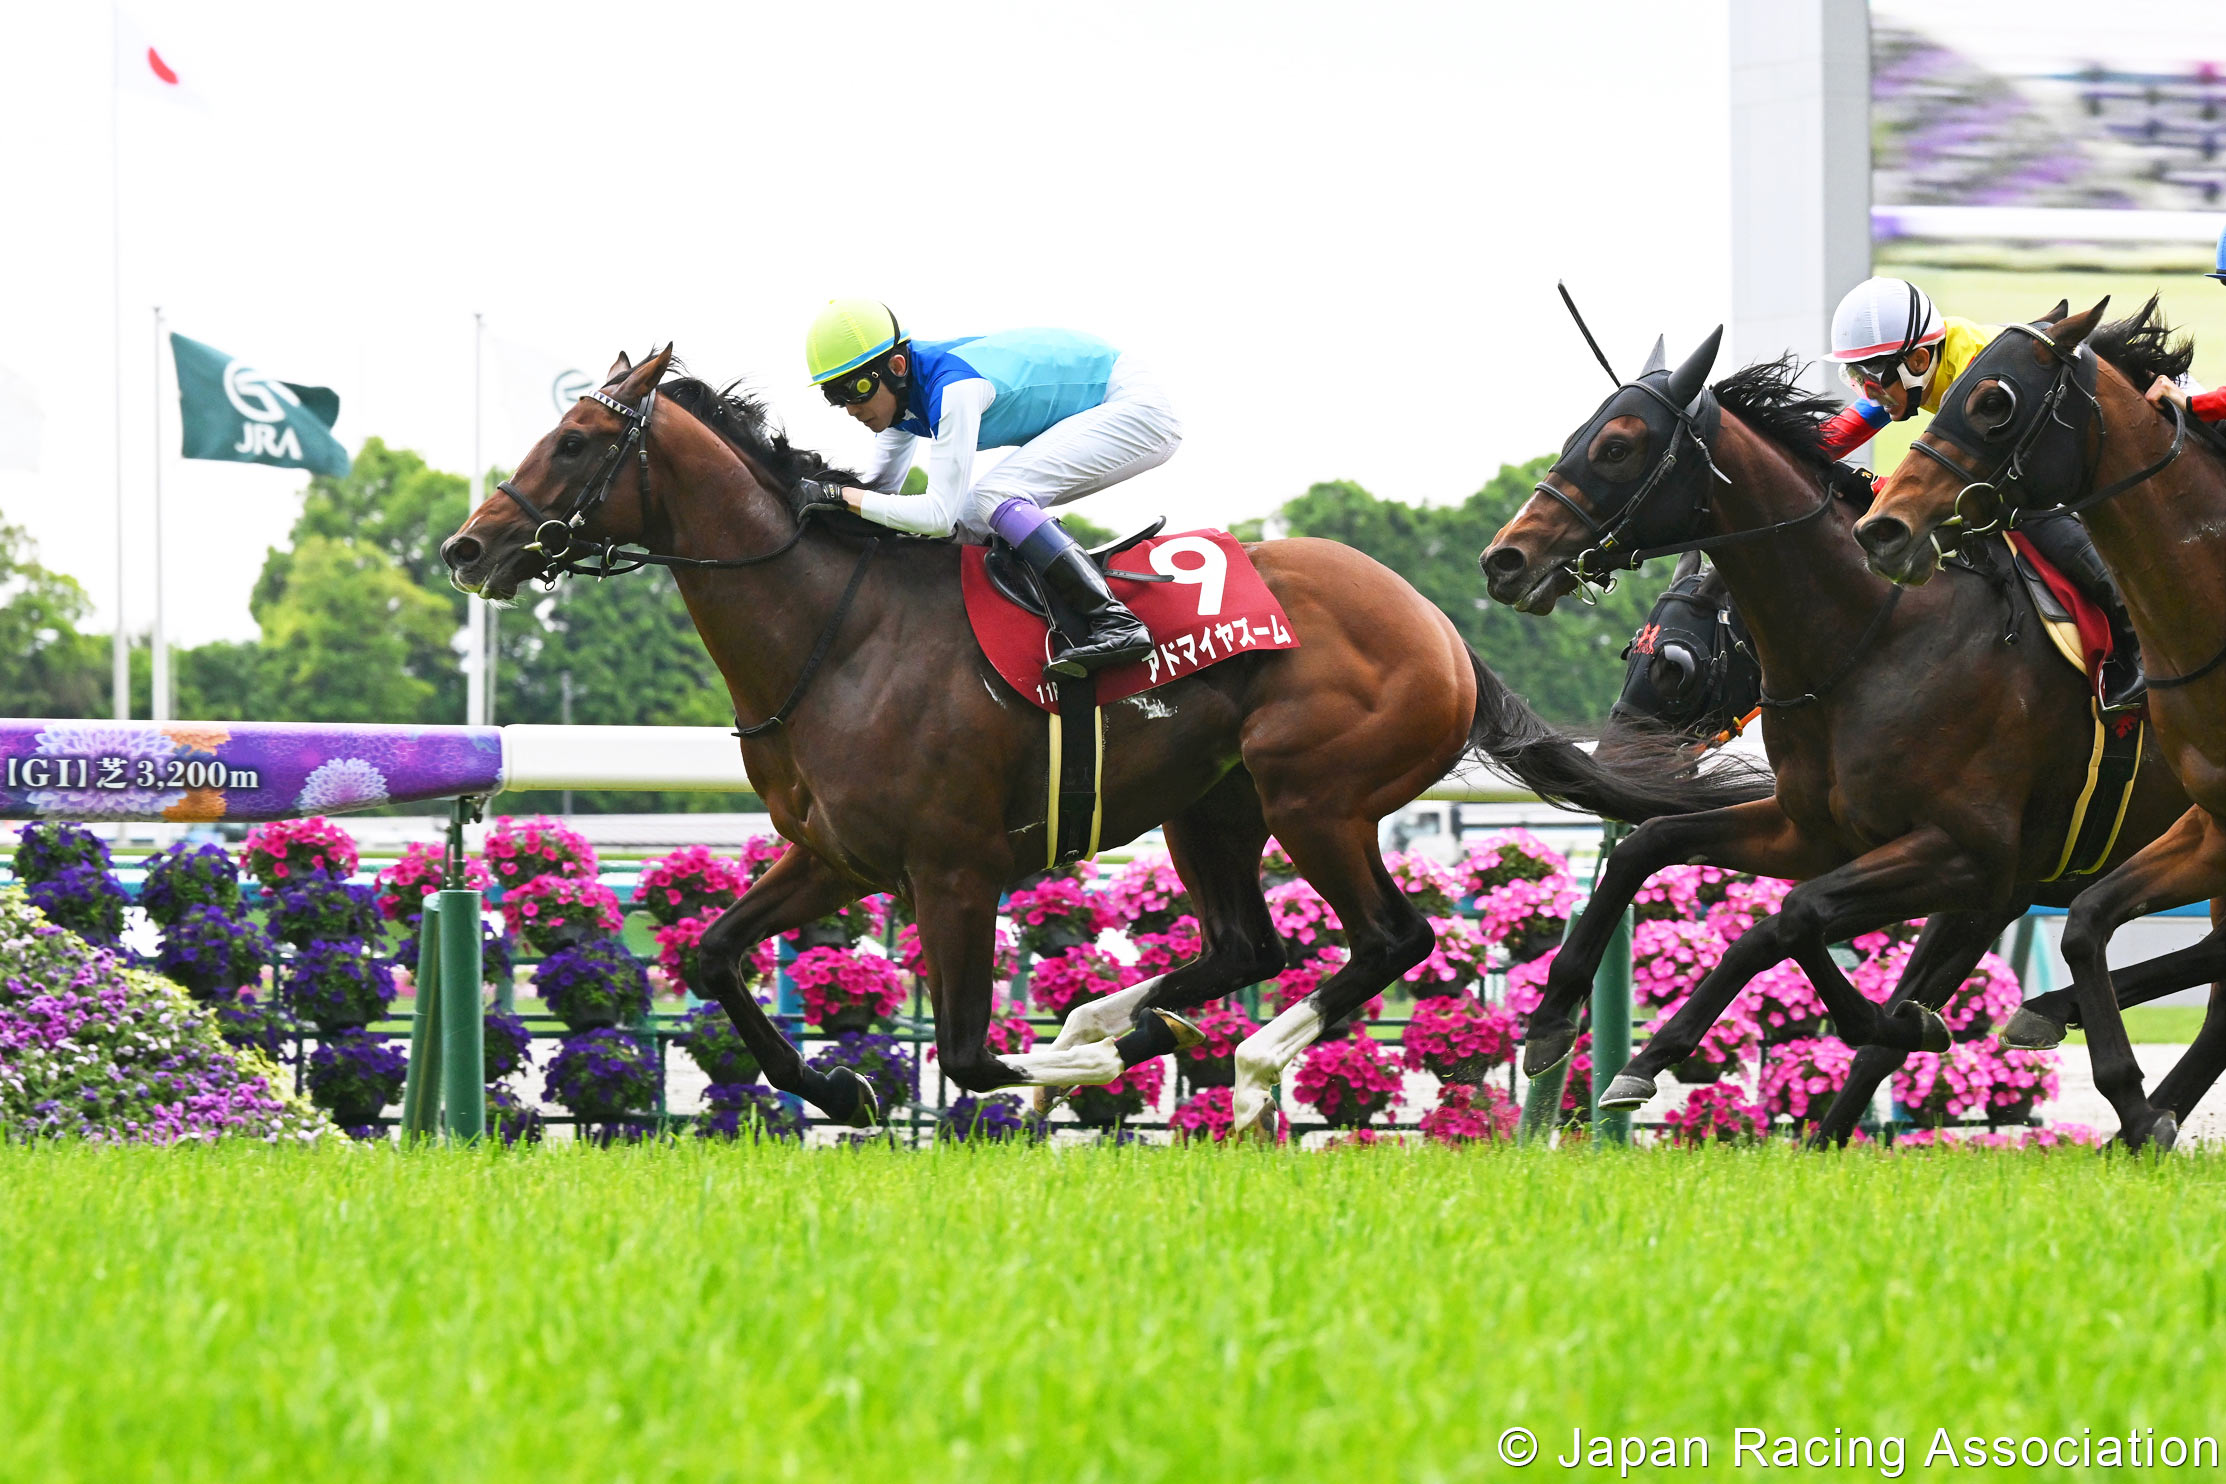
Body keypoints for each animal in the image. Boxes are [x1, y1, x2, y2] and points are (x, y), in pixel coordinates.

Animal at [439, 346, 1762, 1135]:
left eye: (574, 441)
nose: (467, 545)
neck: (838, 630)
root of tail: (1440, 623)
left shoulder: (953, 868)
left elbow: (973, 1054)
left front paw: (1070, 1068)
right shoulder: (838, 855)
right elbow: (715, 954)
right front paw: (844, 1083)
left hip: (1314, 795)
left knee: (1387, 936)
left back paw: (1245, 1056)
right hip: (1209, 803)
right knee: (1245, 941)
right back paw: (1132, 1018)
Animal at [1477, 334, 2199, 1145]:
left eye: (1617, 445)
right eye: (1633, 652)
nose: (1504, 559)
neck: (1878, 639)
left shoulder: (1971, 858)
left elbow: (1792, 920)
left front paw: (1893, 1025)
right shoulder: (1821, 832)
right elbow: (1655, 850)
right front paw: (1558, 1023)